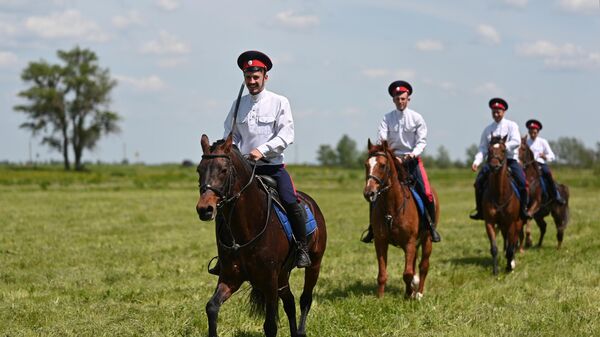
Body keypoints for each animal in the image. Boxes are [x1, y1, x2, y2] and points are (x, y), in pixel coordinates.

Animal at [197, 134, 328, 336]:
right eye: (199, 170)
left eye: (224, 170)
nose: (204, 209)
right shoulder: (230, 277)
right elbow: (211, 307)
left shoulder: (269, 280)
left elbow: (270, 325)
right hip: (283, 275)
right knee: (290, 302)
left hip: (314, 264)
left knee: (305, 299)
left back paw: (300, 331)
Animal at [360, 140, 436, 298]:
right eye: (366, 164)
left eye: (383, 165)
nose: (369, 193)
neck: (392, 208)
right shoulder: (381, 242)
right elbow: (382, 274)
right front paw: (380, 297)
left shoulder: (409, 242)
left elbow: (407, 273)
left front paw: (408, 294)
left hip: (427, 240)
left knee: (423, 266)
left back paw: (419, 293)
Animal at [480, 134, 524, 272]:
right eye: (489, 150)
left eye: (504, 150)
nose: (494, 166)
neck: (500, 195)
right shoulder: (489, 222)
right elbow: (494, 248)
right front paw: (495, 271)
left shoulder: (511, 223)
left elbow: (511, 247)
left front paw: (510, 266)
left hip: (518, 223)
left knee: (513, 242)